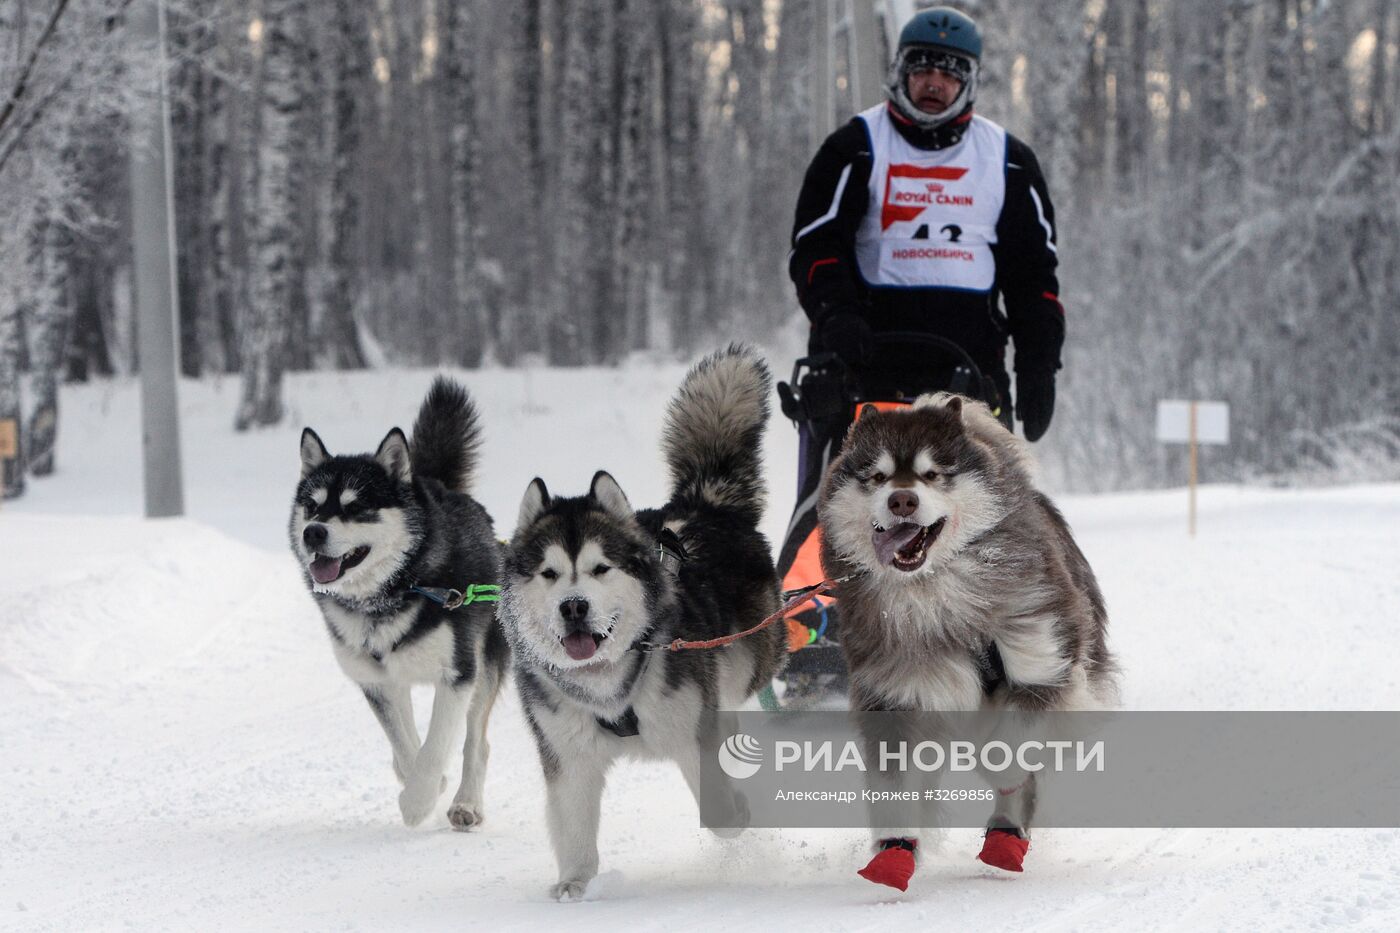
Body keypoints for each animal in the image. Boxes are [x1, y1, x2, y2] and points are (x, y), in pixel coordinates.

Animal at [289, 375, 509, 823]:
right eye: (312, 506)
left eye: (357, 507)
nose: (313, 532)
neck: (392, 591)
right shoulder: (377, 680)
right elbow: (406, 748)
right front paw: (424, 784)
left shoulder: (458, 674)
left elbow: (435, 747)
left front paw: (418, 800)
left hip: (486, 665)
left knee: (476, 742)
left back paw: (466, 803)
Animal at [504, 344, 789, 896]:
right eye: (550, 573)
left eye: (600, 568)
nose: (574, 606)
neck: (609, 687)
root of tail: (702, 504)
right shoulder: (566, 750)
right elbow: (574, 826)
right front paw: (574, 883)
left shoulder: (691, 732)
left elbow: (720, 811)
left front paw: (739, 813)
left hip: (749, 656)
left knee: (734, 688)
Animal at [817, 389, 1114, 885]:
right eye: (877, 477)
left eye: (932, 474)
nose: (901, 501)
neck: (937, 597)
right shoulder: (892, 696)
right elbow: (893, 784)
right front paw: (894, 851)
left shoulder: (1043, 663)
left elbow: (1007, 754)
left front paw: (1003, 777)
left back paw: (1005, 838)